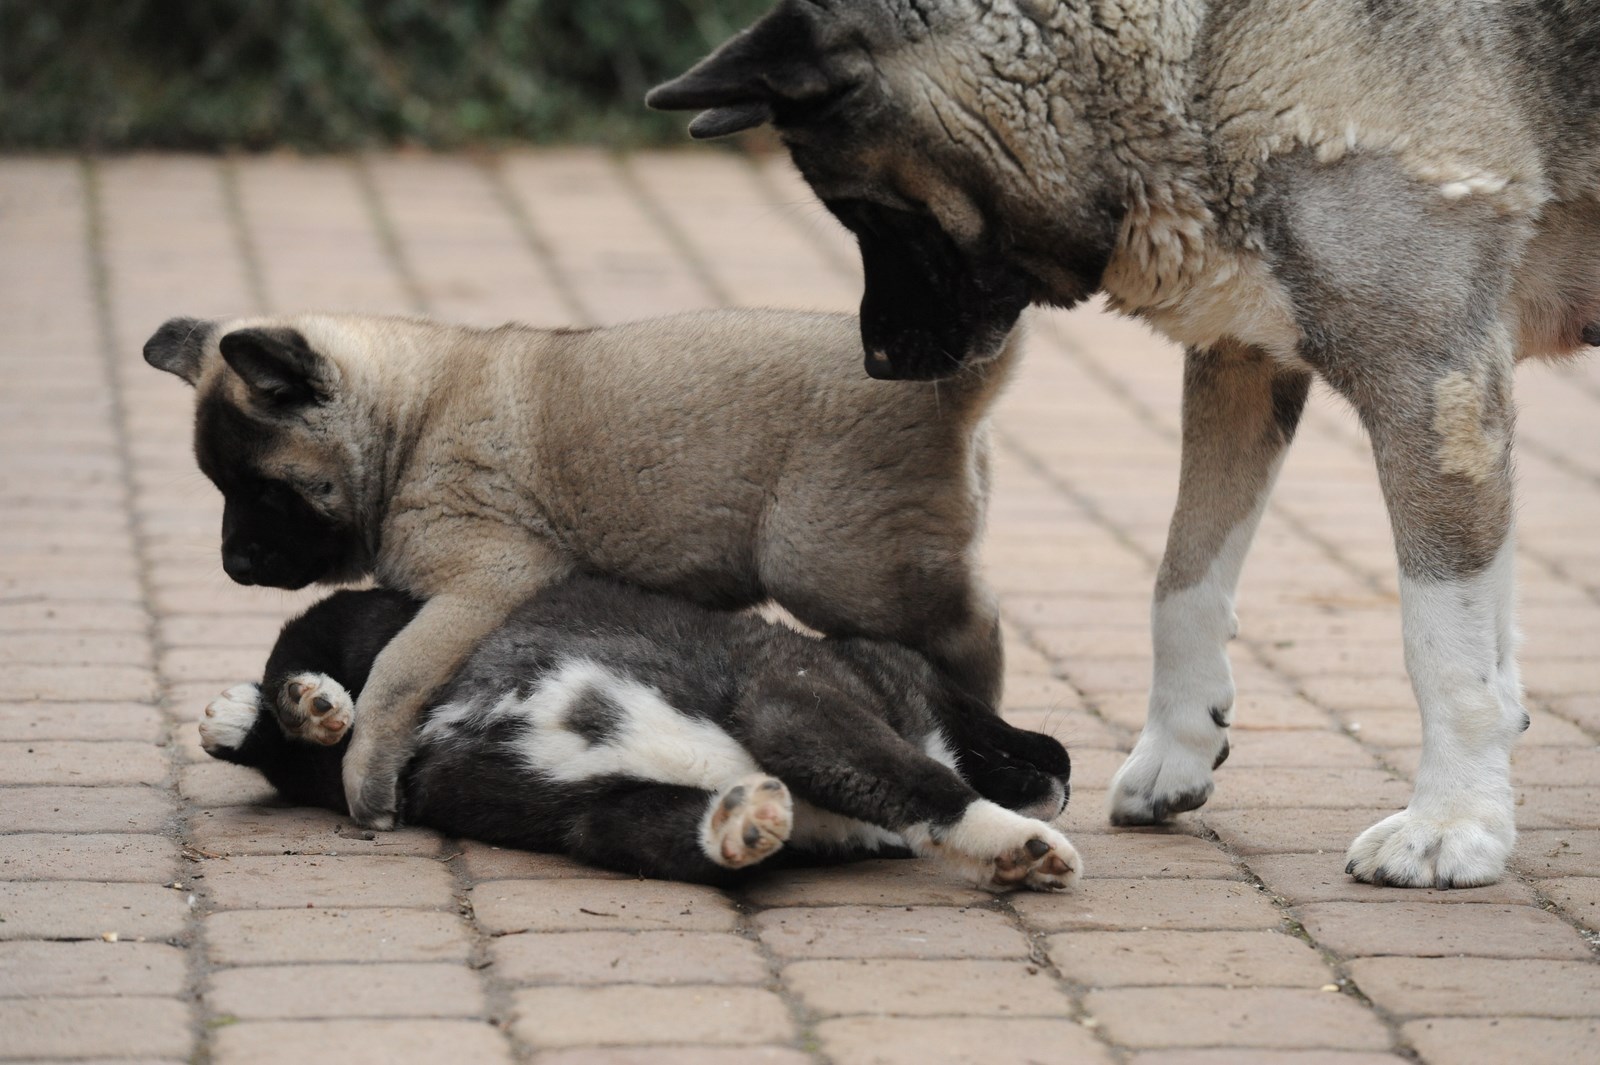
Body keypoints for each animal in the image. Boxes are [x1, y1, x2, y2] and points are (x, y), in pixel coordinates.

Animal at [147, 308, 1075, 831]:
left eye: (264, 490)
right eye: (220, 486)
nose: (232, 564)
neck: (410, 423)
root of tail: (949, 390)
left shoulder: (485, 579)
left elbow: (397, 674)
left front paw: (365, 774)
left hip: (834, 562)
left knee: (972, 630)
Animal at [196, 572, 1075, 889]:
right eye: (1006, 736)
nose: (1065, 776)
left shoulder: (604, 811)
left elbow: (690, 837)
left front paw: (749, 821)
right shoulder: (801, 707)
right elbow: (931, 783)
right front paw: (1035, 847)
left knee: (311, 770)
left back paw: (247, 720)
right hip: (374, 624)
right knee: (301, 650)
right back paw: (306, 704)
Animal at [646, 0, 1600, 889]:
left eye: (865, 211)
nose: (878, 361)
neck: (1197, 54)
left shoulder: (1429, 377)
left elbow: (1444, 644)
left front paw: (1453, 820)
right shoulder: (1245, 364)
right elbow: (1183, 581)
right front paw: (1179, 747)